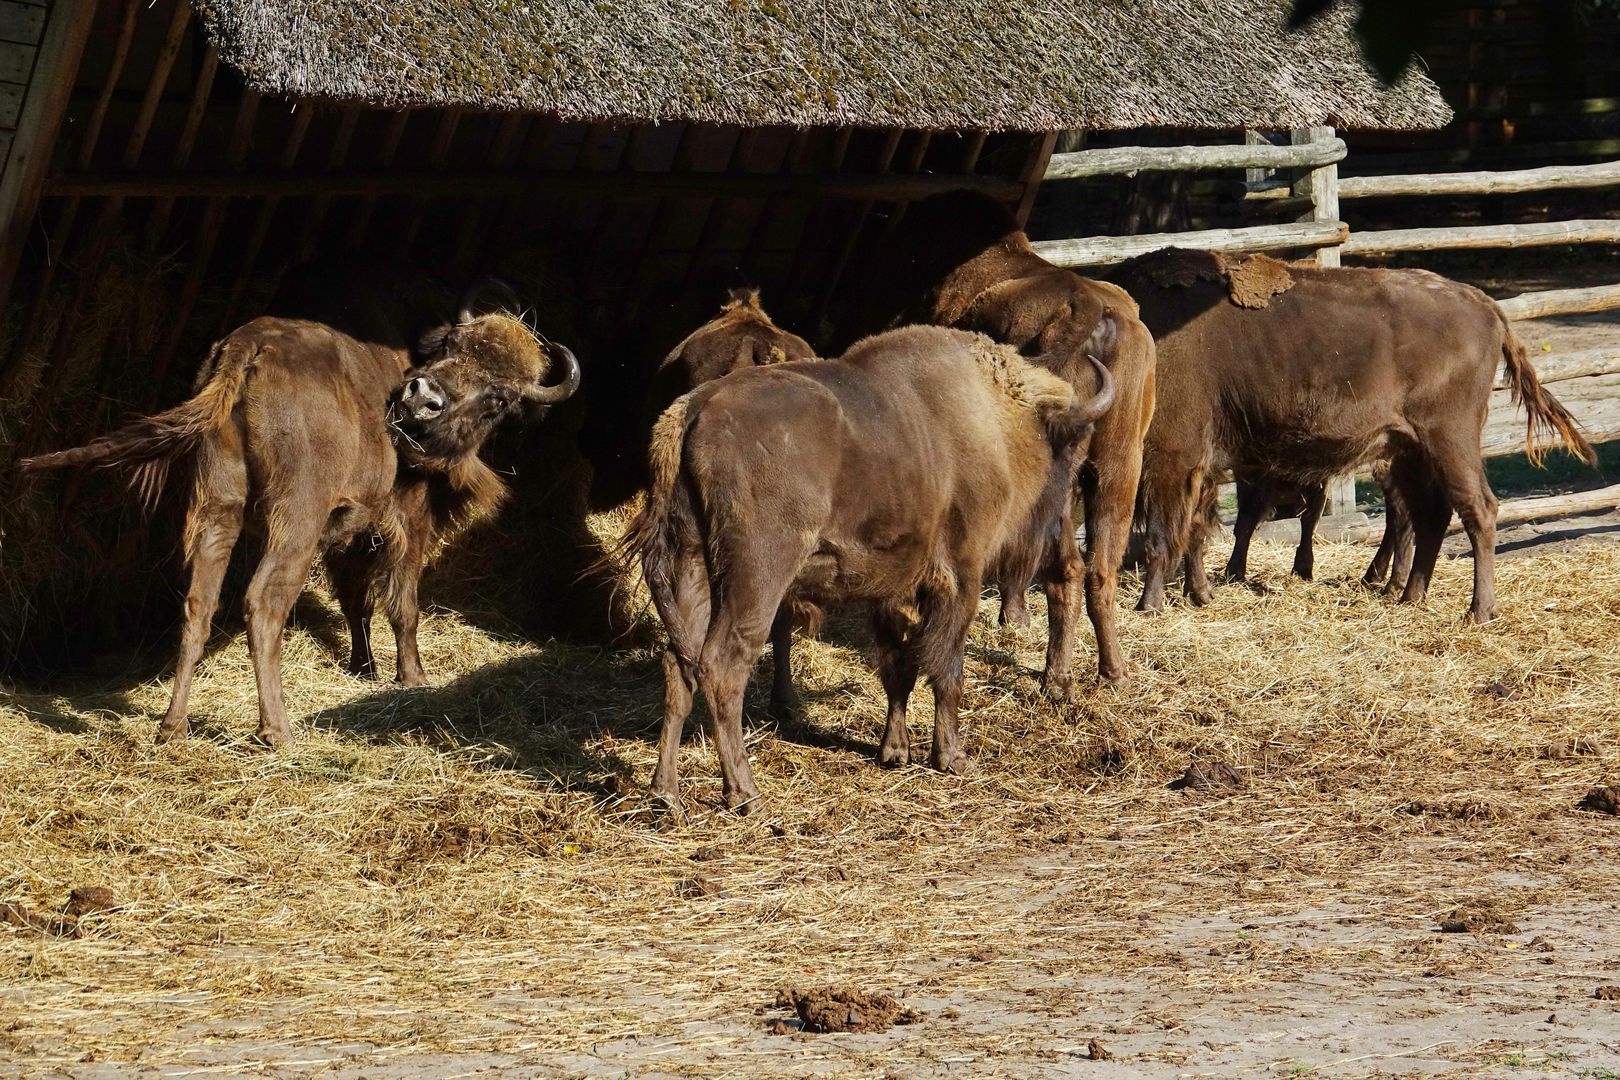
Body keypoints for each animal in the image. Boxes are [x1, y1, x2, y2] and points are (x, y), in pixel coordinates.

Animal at [19, 276, 579, 744]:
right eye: (450, 348)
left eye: (499, 398)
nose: (422, 396)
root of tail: (247, 348)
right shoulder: (405, 515)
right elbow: (402, 601)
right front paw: (413, 678)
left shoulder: (349, 528)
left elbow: (356, 599)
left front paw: (365, 667)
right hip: (296, 519)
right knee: (264, 602)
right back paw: (279, 731)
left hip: (219, 504)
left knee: (199, 603)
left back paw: (173, 728)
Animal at [842, 189, 1159, 683]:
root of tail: (1088, 308)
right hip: (1120, 463)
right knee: (1099, 569)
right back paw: (1113, 673)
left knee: (1065, 569)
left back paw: (1056, 678)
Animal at [1114, 250, 1594, 625]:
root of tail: (1486, 305)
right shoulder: (1201, 466)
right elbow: (1196, 530)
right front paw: (1199, 596)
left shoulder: (1171, 459)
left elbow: (1162, 535)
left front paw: (1149, 606)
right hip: (1412, 451)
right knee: (1430, 516)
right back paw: (1408, 596)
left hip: (1449, 439)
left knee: (1478, 510)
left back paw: (1477, 611)